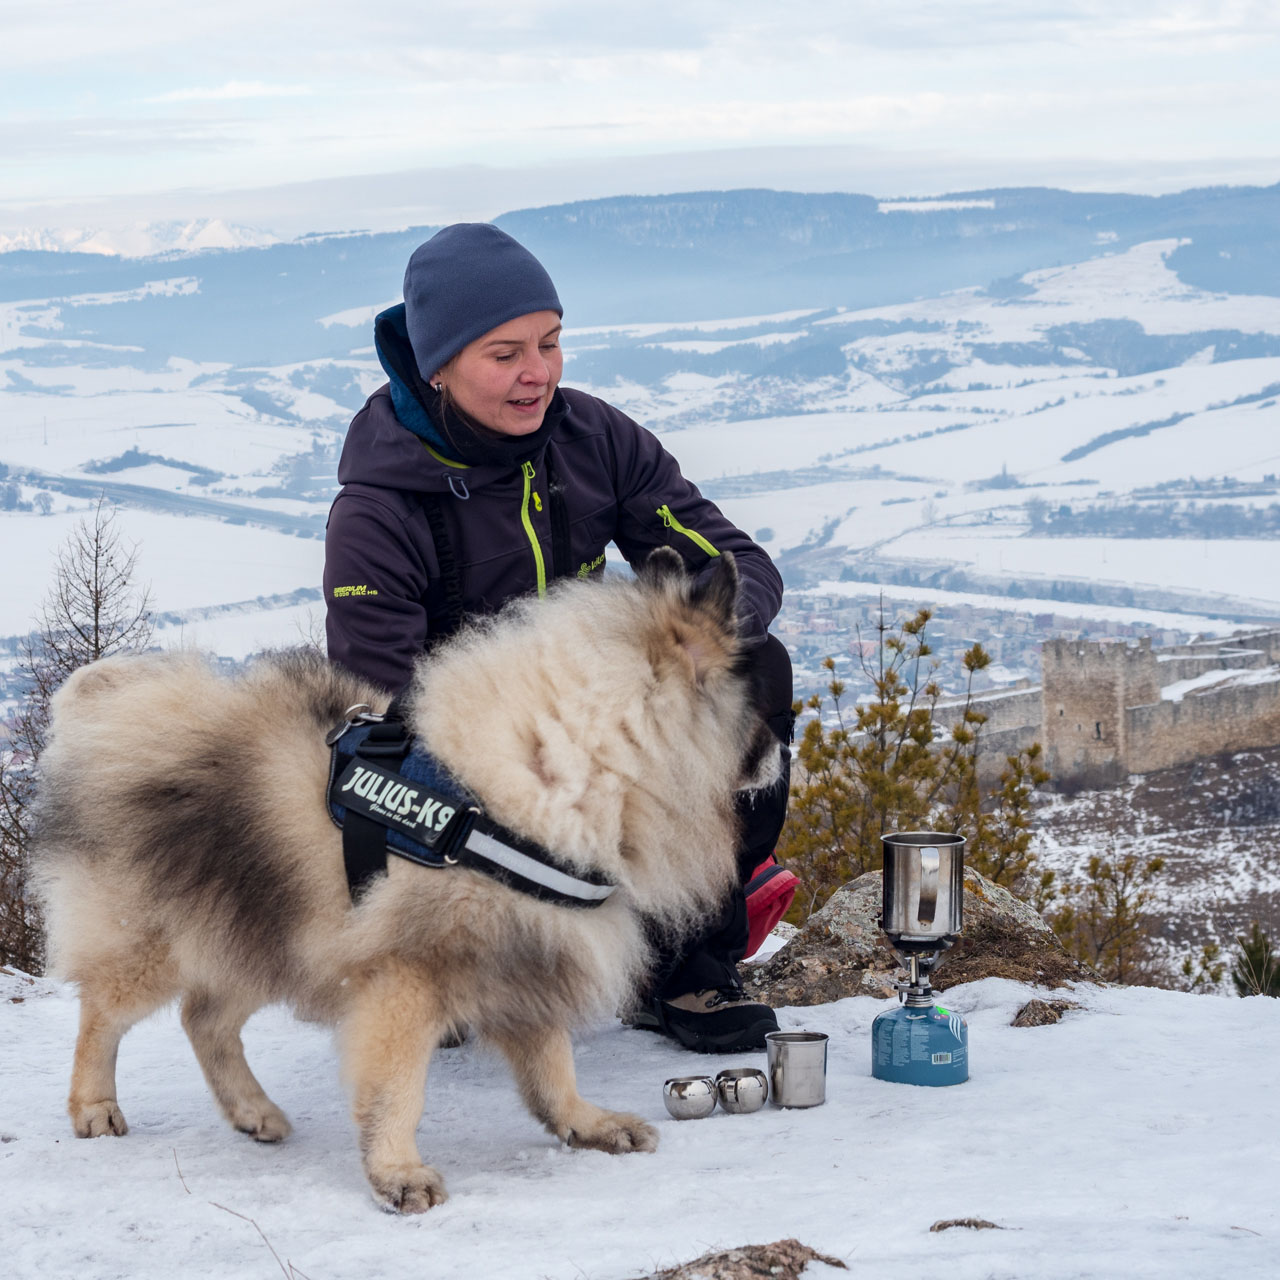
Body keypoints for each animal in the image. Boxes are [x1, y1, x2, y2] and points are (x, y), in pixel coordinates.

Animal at [35, 547, 778, 1208]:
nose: (779, 749)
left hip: (262, 936)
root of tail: (112, 707)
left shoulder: (526, 949)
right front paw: (397, 1172)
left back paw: (253, 1110)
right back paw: (95, 1106)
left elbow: (551, 1065)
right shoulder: (408, 973)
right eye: (753, 709)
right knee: (104, 1015)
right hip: (164, 940)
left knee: (204, 1019)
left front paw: (585, 1123)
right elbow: (398, 1088)